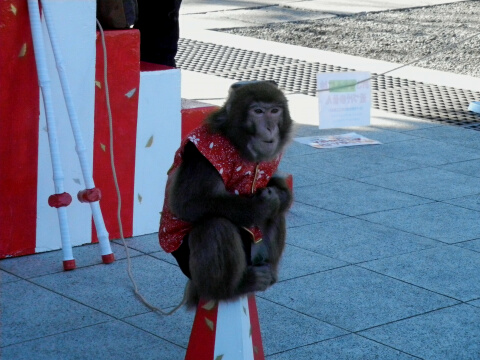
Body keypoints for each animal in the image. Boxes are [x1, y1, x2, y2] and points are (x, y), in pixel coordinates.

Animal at [158, 79, 292, 306]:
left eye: (275, 111)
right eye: (258, 111)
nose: (269, 127)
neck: (238, 144)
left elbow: (278, 187)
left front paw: (276, 197)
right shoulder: (202, 157)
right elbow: (186, 203)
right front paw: (261, 206)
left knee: (276, 216)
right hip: (187, 264)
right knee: (214, 224)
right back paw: (233, 288)